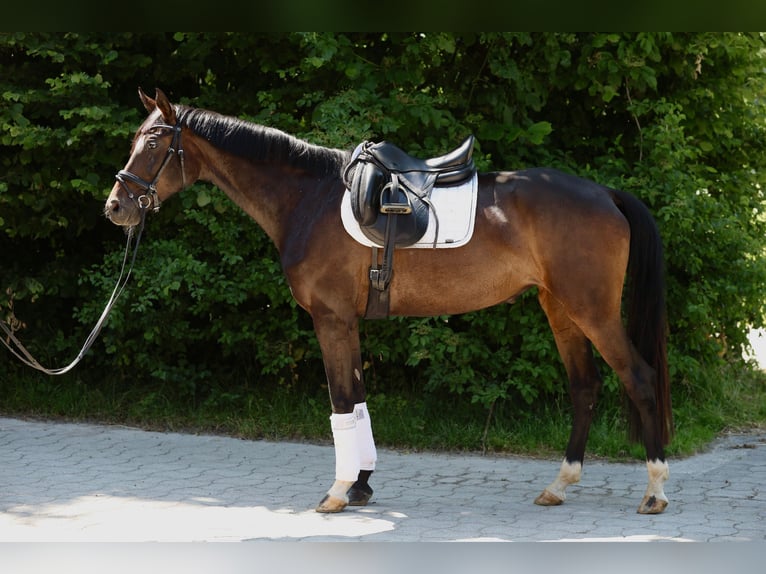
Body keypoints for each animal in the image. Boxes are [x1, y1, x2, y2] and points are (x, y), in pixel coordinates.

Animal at [105, 88, 673, 515]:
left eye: (153, 142)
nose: (116, 207)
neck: (307, 201)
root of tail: (605, 194)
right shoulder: (347, 322)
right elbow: (358, 400)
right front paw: (360, 484)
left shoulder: (331, 319)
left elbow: (339, 401)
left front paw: (337, 492)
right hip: (561, 310)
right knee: (585, 387)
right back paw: (559, 485)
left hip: (593, 311)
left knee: (640, 379)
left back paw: (654, 490)